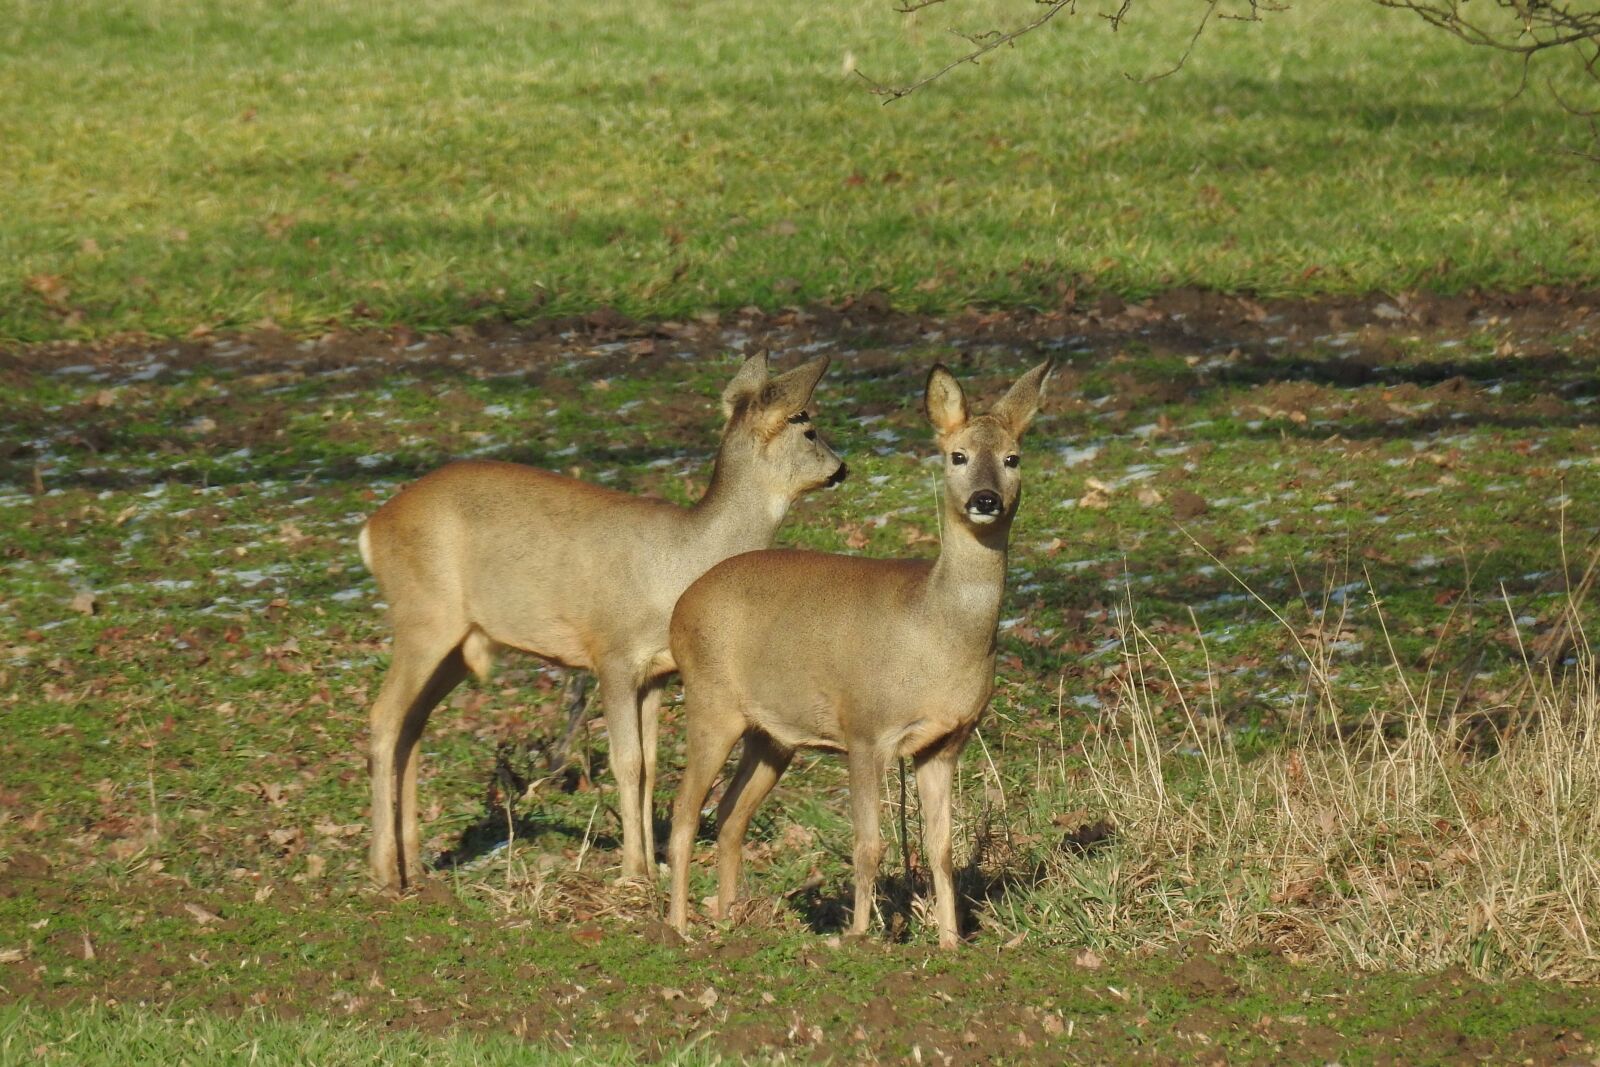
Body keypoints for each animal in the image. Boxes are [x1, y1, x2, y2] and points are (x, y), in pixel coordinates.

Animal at [358, 352, 846, 892]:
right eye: (809, 429)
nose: (842, 468)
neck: (682, 561)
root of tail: (371, 529)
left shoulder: (657, 671)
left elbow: (650, 764)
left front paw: (652, 863)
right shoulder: (612, 652)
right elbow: (626, 761)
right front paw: (634, 873)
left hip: (458, 643)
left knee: (412, 725)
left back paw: (416, 868)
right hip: (423, 615)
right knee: (384, 718)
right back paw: (384, 872)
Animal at [667, 360, 1050, 948]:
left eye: (1013, 458)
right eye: (957, 456)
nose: (985, 499)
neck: (935, 631)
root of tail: (682, 604)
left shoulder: (946, 741)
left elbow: (941, 848)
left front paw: (951, 941)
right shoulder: (866, 728)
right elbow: (869, 845)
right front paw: (860, 937)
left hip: (773, 734)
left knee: (730, 816)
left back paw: (730, 919)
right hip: (711, 701)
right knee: (685, 812)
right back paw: (677, 928)